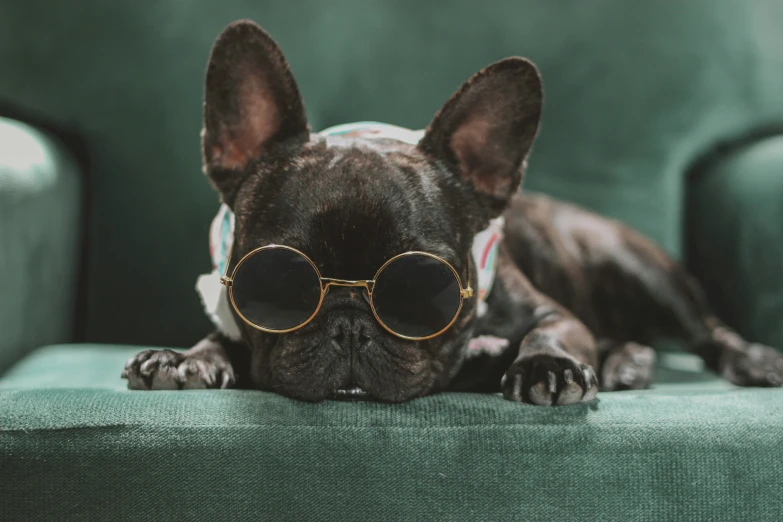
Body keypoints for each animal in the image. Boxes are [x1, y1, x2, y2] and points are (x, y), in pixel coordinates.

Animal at [121, 19, 783, 402]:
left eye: (424, 288)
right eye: (277, 286)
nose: (350, 324)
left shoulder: (552, 311)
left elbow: (557, 330)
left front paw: (548, 366)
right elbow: (222, 335)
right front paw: (186, 358)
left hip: (637, 269)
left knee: (707, 330)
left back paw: (747, 359)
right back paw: (629, 361)